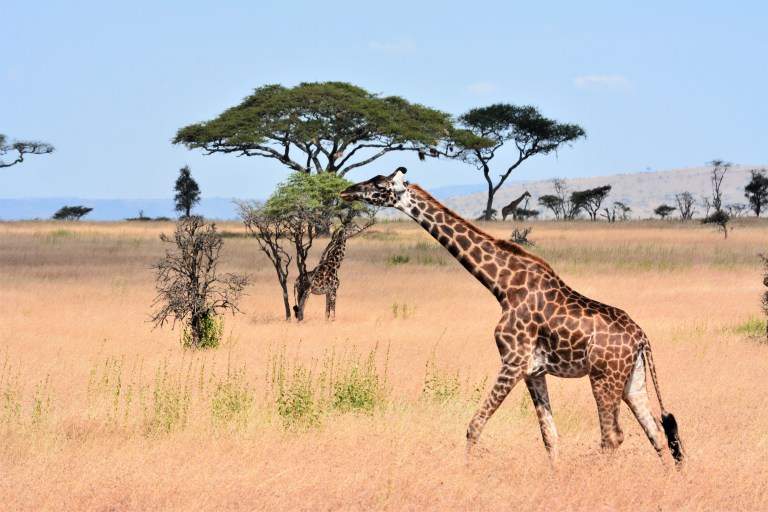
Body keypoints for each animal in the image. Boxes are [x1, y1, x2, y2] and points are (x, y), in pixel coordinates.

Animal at [340, 167, 684, 466]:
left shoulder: (513, 361)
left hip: (603, 376)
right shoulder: (534, 371)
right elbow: (550, 437)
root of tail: (641, 337)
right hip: (632, 379)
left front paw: (465, 471)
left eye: (379, 185)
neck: (503, 285)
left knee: (613, 436)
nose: (346, 191)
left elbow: (474, 425)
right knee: (656, 434)